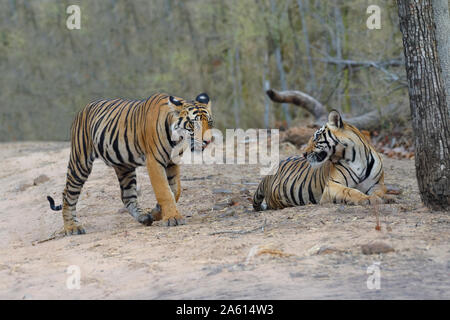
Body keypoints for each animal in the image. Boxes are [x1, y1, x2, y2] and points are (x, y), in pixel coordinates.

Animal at [48, 92, 214, 235]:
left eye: (210, 122)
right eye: (193, 124)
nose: (208, 140)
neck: (176, 138)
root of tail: (83, 109)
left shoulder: (172, 163)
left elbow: (175, 190)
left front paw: (157, 212)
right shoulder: (155, 162)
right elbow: (164, 191)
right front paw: (173, 218)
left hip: (124, 167)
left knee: (127, 196)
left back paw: (144, 217)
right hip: (80, 162)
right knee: (68, 194)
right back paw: (72, 227)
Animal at [253, 109, 394, 211]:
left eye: (316, 137)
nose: (303, 153)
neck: (357, 158)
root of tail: (268, 175)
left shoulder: (377, 184)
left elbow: (380, 192)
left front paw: (387, 198)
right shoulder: (332, 185)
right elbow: (350, 191)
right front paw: (367, 199)